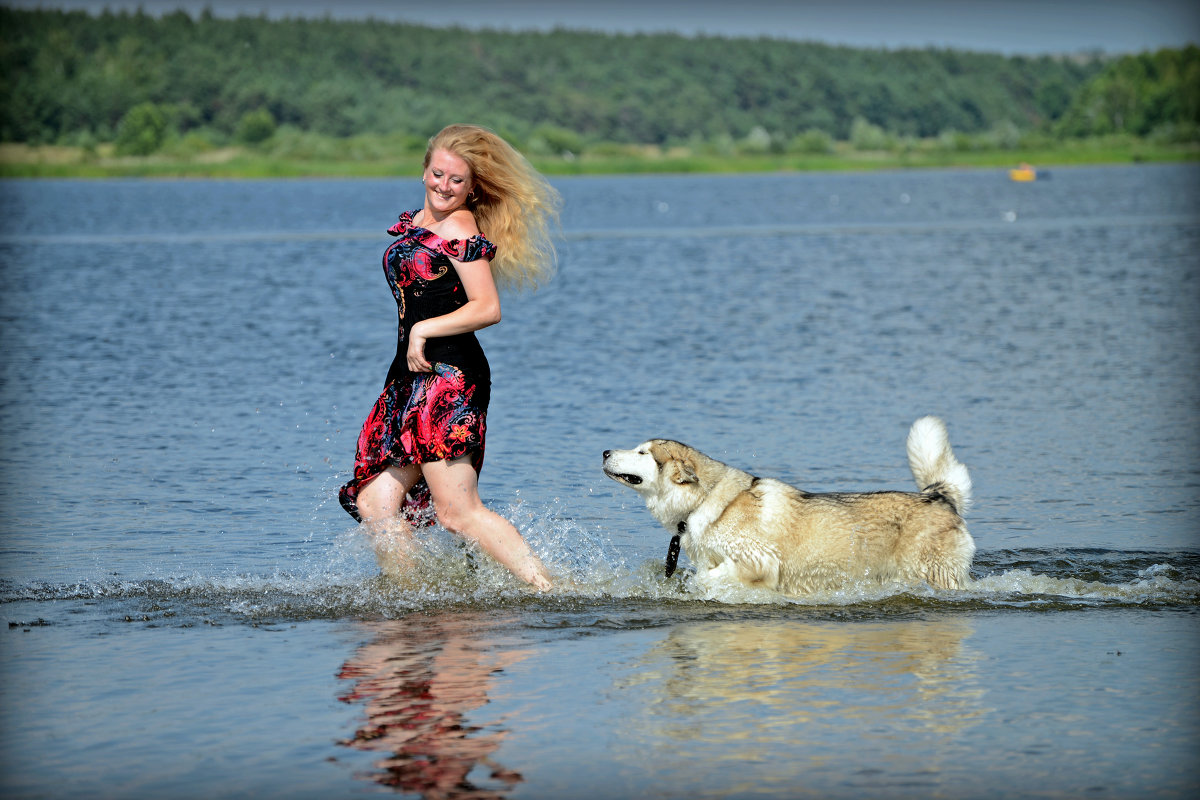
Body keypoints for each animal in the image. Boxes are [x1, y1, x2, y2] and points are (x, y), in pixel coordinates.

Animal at [600, 419, 974, 594]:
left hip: (936, 575)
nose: (604, 451)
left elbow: (707, 579)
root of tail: (940, 495)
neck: (705, 502)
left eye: (642, 452)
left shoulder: (760, 561)